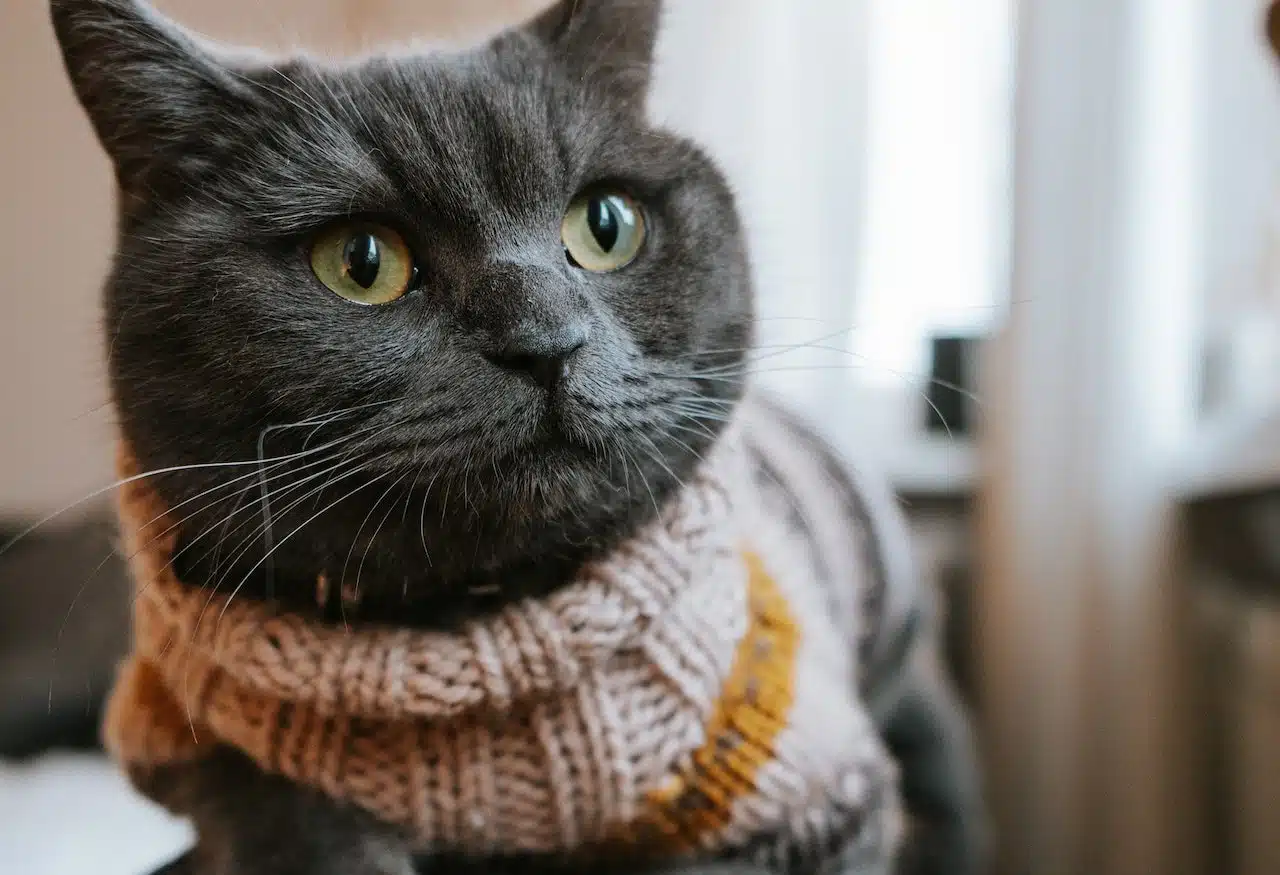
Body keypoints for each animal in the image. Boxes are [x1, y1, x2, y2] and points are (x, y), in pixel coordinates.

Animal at [45, 0, 983, 869]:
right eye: (360, 261)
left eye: (606, 225)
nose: (544, 339)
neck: (471, 626)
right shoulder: (189, 739)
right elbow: (279, 815)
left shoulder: (817, 792)